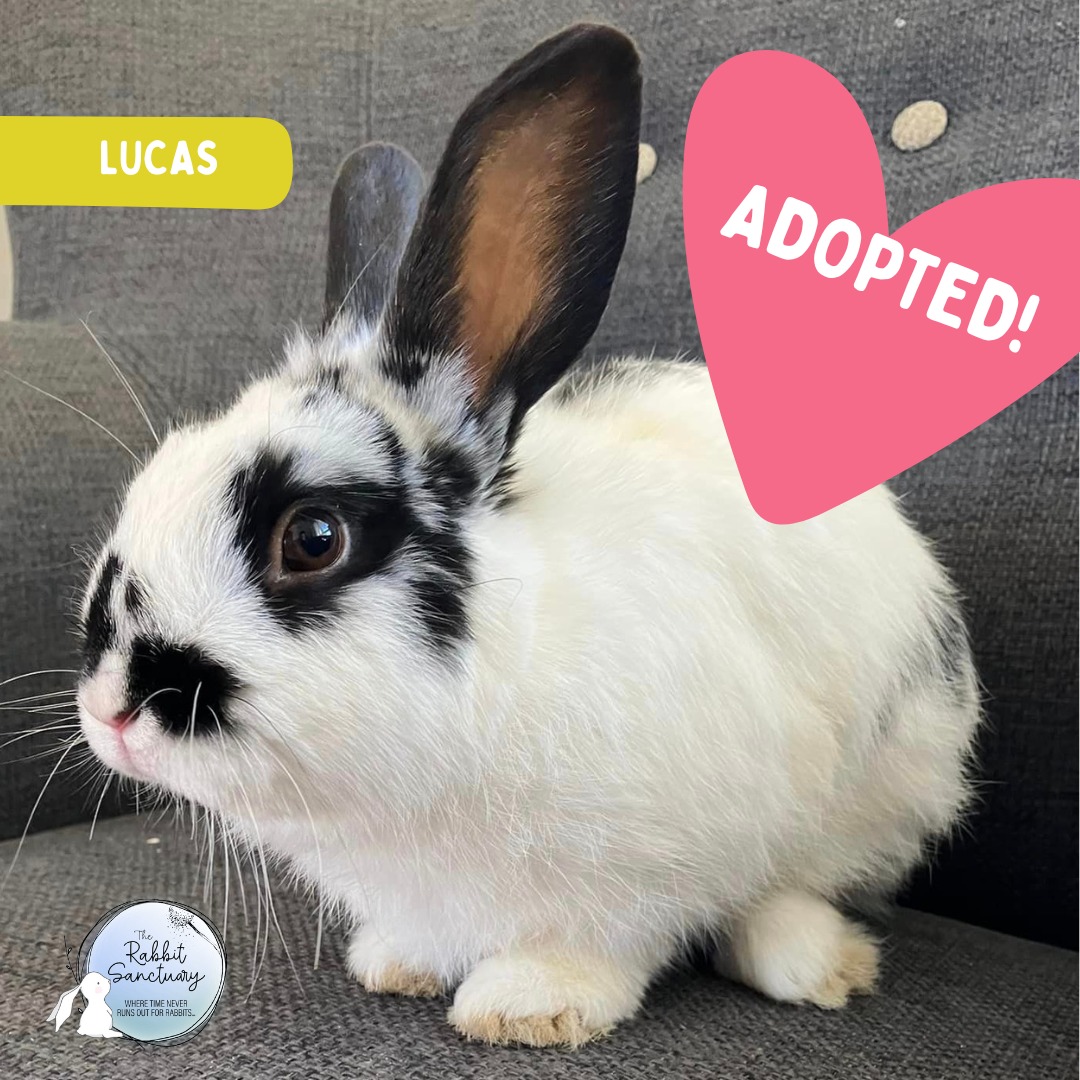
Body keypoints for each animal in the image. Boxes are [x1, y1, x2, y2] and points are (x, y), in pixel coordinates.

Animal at [74, 24, 981, 1047]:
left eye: (312, 538)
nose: (111, 713)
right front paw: (397, 966)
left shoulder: (650, 861)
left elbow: (598, 940)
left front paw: (527, 1008)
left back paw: (816, 966)